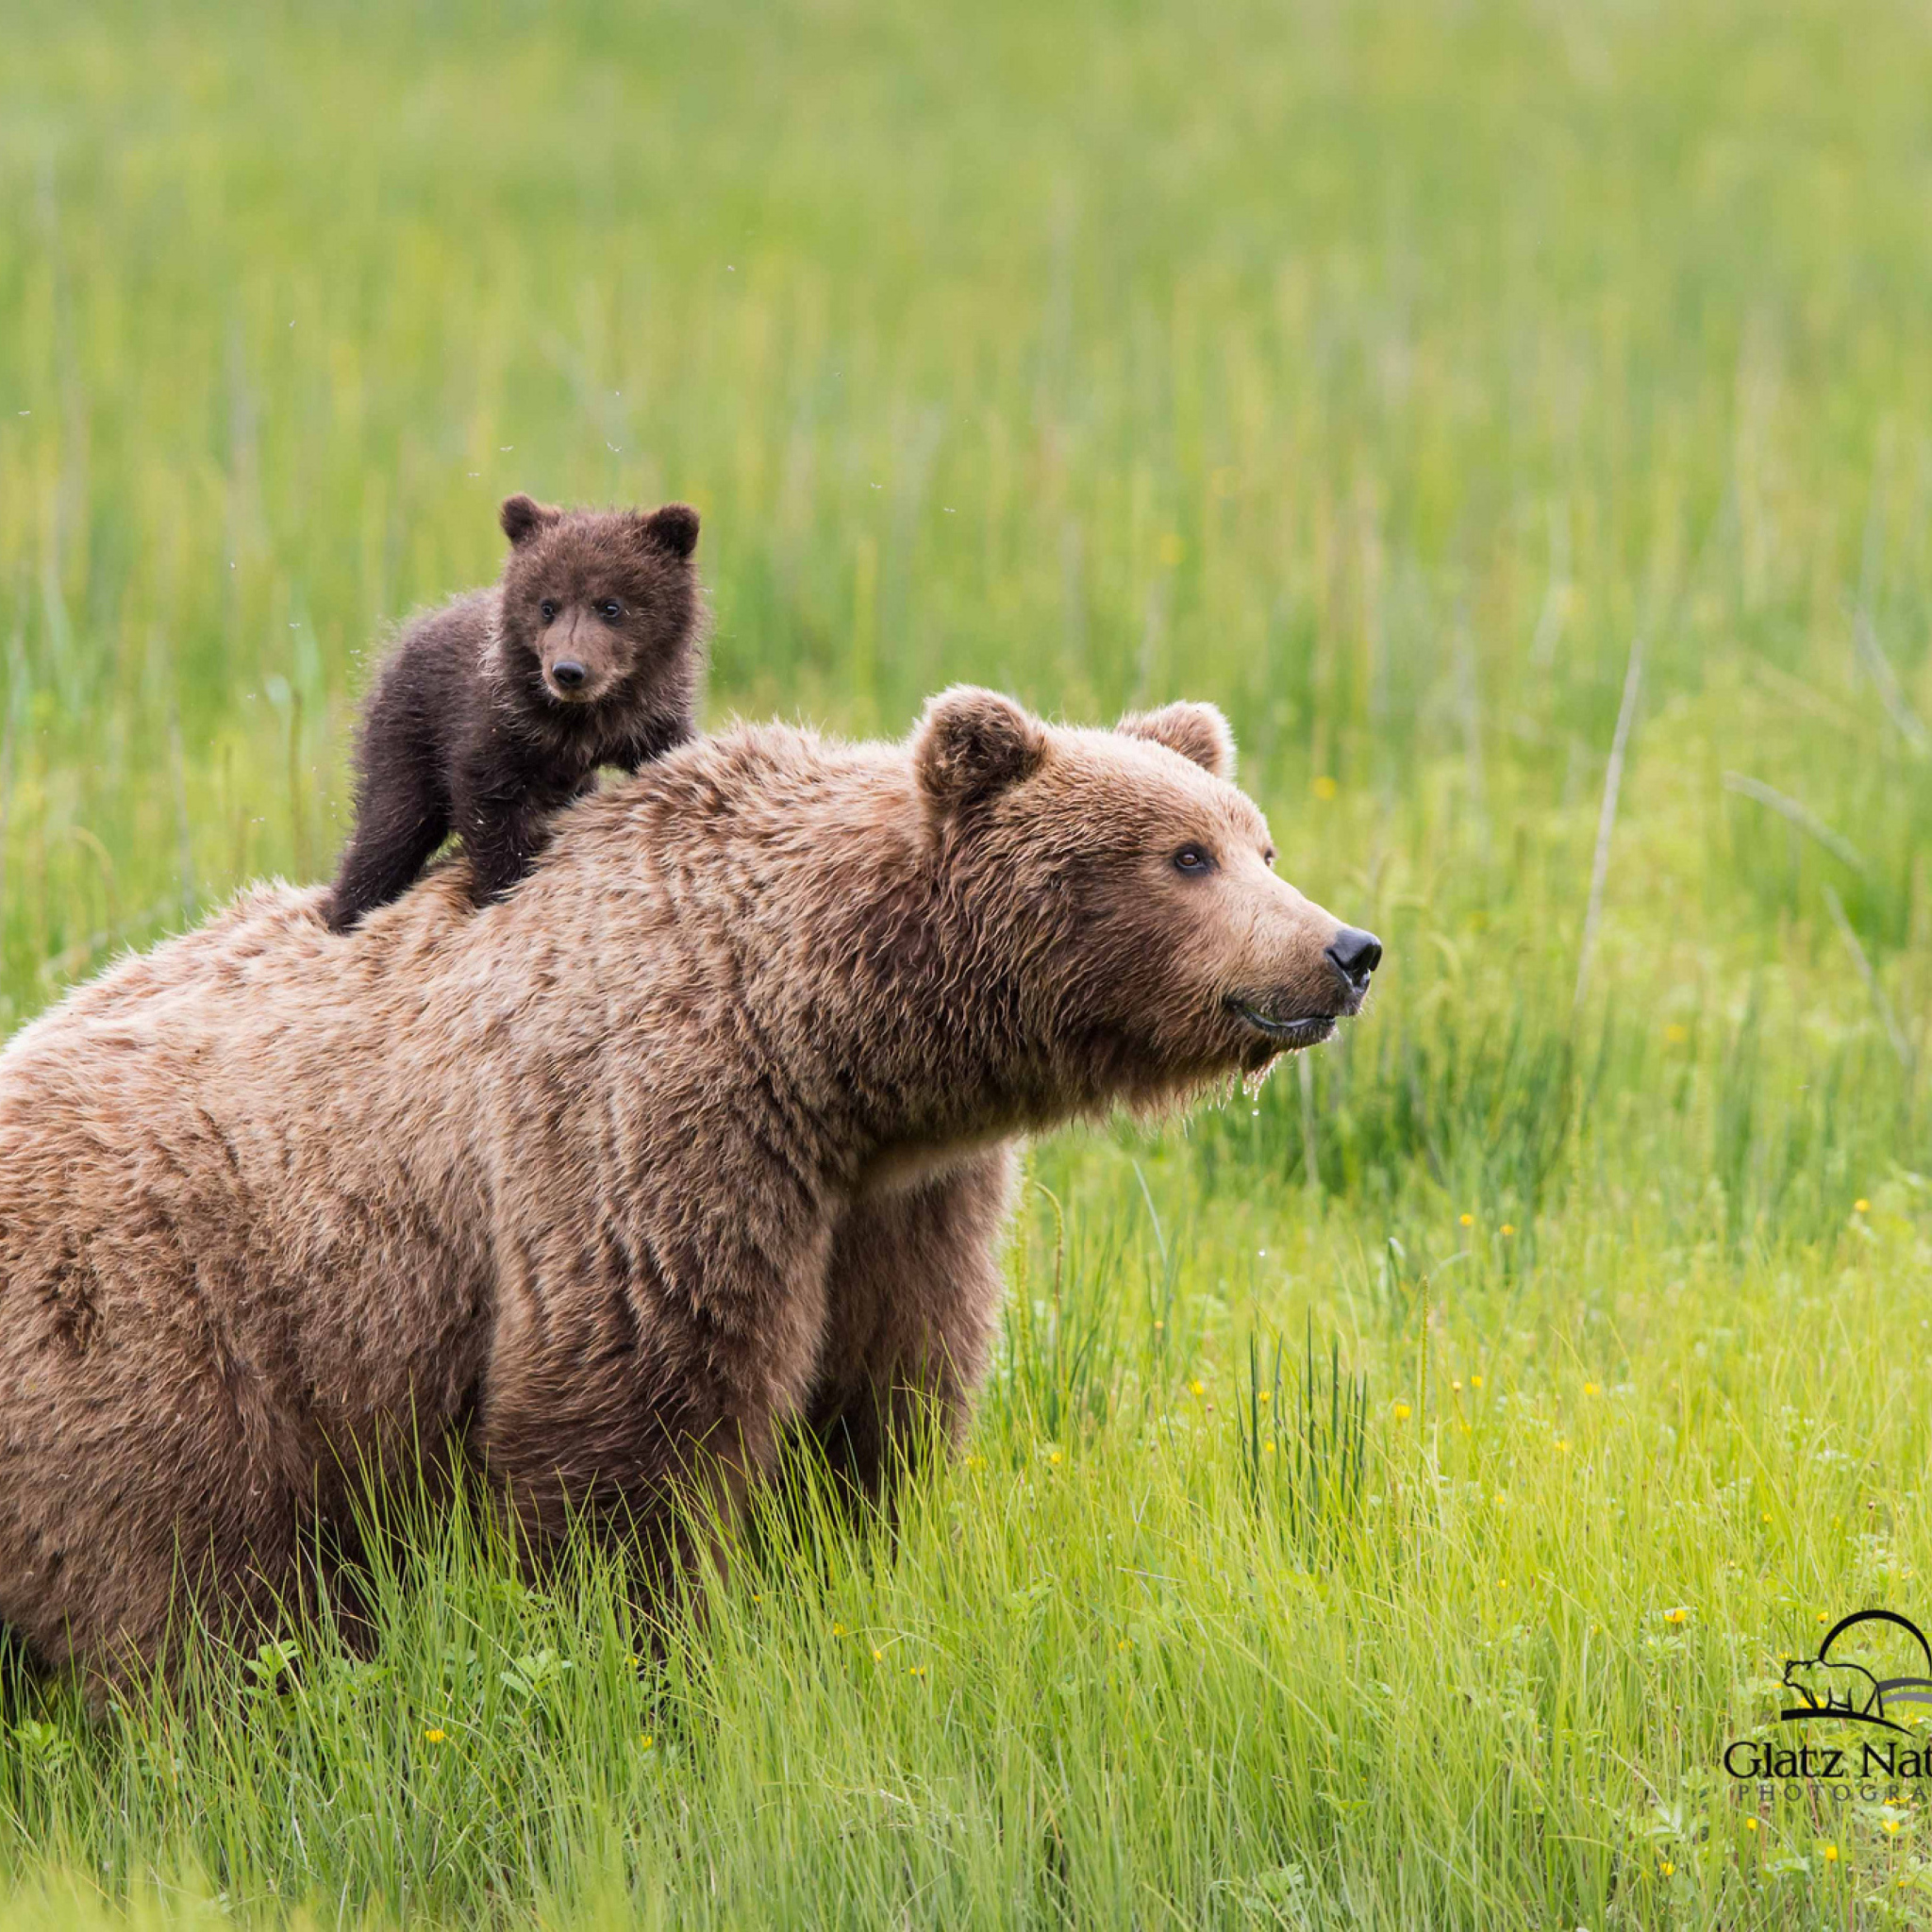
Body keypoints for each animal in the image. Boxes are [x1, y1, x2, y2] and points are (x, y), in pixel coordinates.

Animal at [4, 688, 1391, 1684]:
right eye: (1185, 855)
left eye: (1260, 838)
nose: (1346, 949)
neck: (825, 1048)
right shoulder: (652, 1133)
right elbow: (632, 1431)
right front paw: (647, 1650)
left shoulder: (896, 1203)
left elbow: (873, 1404)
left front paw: (835, 1578)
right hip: (161, 1341)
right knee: (174, 1596)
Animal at [320, 491, 707, 927]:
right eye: (547, 606)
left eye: (611, 606)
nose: (568, 671)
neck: (583, 720)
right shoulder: (499, 723)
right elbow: (487, 801)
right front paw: (506, 886)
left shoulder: (648, 719)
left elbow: (672, 755)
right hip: (409, 730)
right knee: (391, 828)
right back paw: (348, 912)